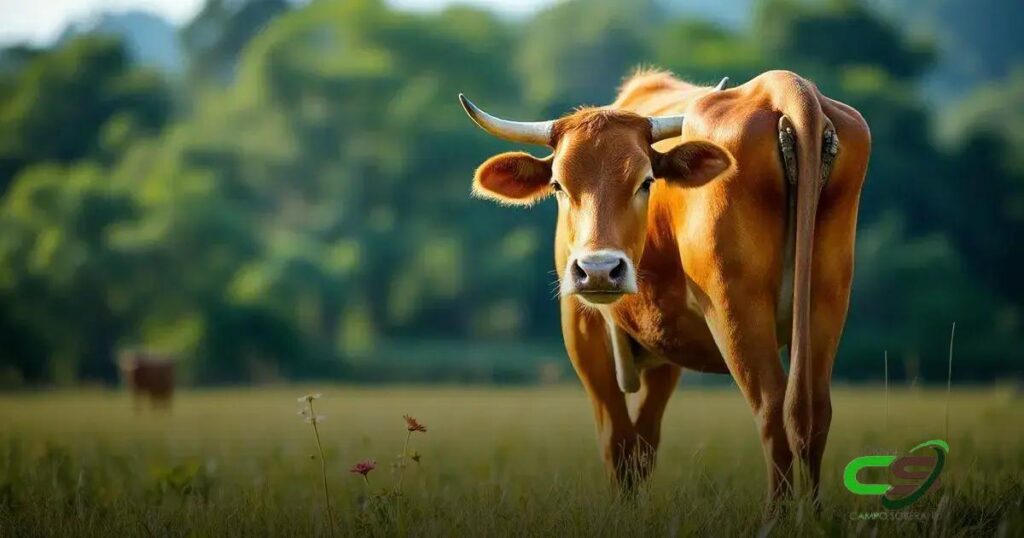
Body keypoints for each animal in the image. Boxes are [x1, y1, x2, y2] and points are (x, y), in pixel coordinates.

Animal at [459, 69, 870, 507]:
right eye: (558, 185)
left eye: (646, 182)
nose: (599, 271)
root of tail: (787, 88)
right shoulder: (664, 352)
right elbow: (643, 444)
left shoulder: (584, 332)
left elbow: (618, 442)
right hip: (825, 299)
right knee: (811, 411)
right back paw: (812, 511)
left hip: (735, 308)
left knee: (772, 407)